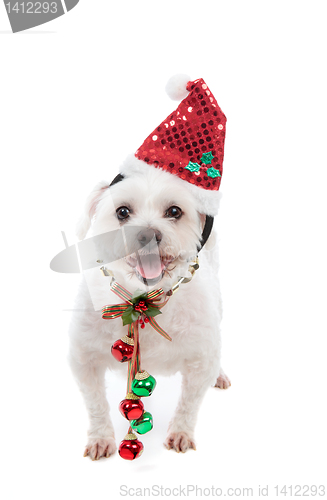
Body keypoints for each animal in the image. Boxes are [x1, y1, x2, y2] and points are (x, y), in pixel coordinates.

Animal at [69, 153, 232, 460]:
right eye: (122, 212)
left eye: (174, 211)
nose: (147, 234)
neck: (143, 302)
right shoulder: (84, 359)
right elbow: (96, 405)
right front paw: (100, 438)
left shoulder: (202, 358)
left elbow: (189, 403)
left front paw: (180, 432)